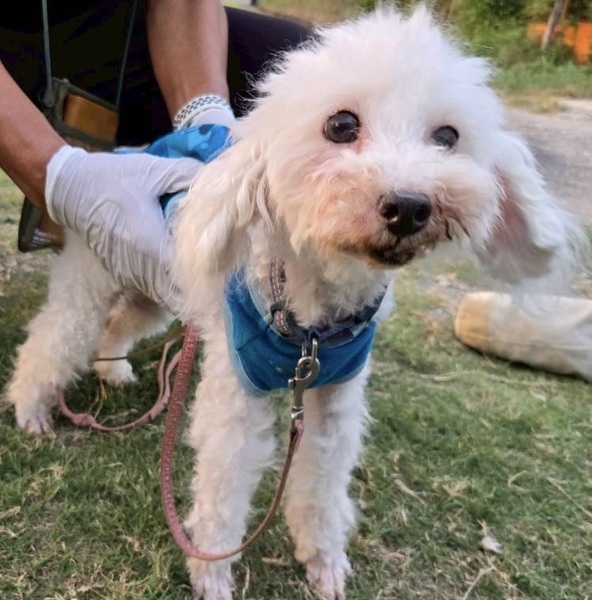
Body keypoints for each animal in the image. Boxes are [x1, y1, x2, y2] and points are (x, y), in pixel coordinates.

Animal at [6, 6, 584, 600]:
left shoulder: (333, 402)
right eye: (341, 125)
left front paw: (323, 559)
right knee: (57, 336)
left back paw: (116, 369)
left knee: (121, 322)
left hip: (161, 288)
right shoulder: (235, 401)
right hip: (91, 276)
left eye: (447, 137)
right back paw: (31, 409)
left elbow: (322, 486)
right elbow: (223, 488)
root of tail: (128, 152)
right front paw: (212, 572)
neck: (313, 323)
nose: (408, 205)